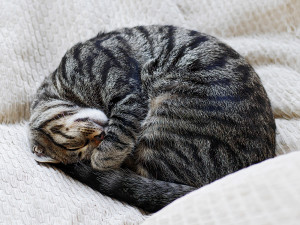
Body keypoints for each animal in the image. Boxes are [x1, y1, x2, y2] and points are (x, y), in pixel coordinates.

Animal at [29, 25, 276, 213]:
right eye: (81, 149)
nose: (100, 136)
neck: (63, 86)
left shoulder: (126, 94)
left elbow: (115, 139)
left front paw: (102, 159)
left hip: (166, 116)